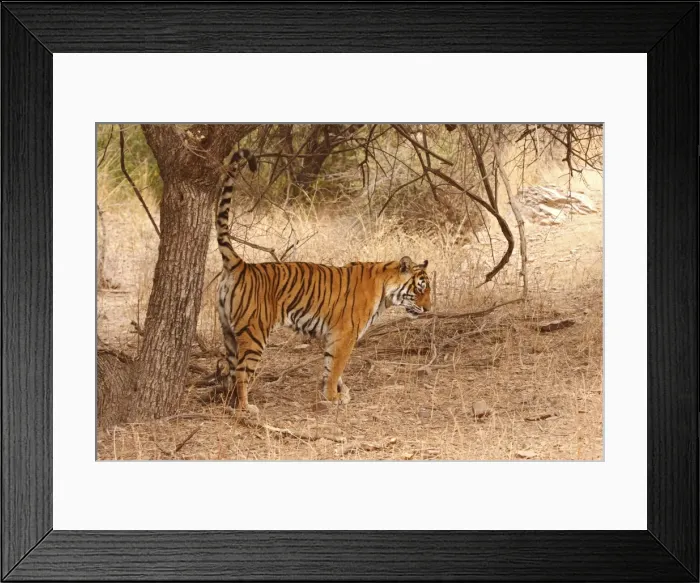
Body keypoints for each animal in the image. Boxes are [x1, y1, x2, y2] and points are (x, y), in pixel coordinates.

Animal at [215, 148, 432, 415]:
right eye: (420, 289)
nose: (428, 309)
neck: (385, 291)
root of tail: (240, 264)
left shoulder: (330, 334)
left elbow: (330, 367)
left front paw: (339, 392)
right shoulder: (345, 334)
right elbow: (336, 366)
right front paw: (333, 396)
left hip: (228, 332)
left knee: (231, 370)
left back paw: (229, 402)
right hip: (254, 332)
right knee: (242, 373)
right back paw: (246, 407)